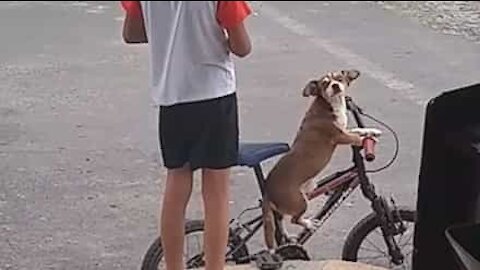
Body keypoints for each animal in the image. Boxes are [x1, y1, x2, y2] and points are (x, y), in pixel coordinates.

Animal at [260, 69, 380, 251]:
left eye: (339, 78)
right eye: (324, 83)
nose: (335, 86)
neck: (332, 104)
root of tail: (267, 190)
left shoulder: (345, 130)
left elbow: (357, 129)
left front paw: (372, 131)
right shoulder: (339, 136)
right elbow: (356, 138)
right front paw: (367, 139)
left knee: (279, 221)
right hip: (300, 201)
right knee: (294, 219)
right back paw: (309, 224)